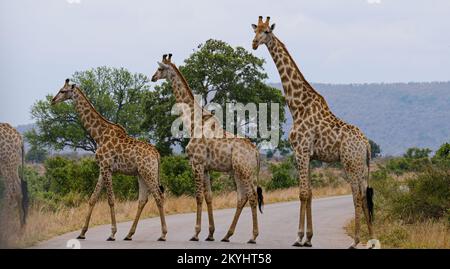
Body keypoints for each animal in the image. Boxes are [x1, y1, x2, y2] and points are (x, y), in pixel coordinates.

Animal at [51, 79, 167, 241]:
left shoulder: (106, 167)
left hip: (148, 172)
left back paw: (163, 234)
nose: (53, 100)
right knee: (143, 199)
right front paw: (82, 233)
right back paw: (129, 234)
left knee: (158, 196)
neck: (98, 134)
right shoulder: (102, 168)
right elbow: (92, 198)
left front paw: (112, 233)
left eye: (63, 91)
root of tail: (157, 154)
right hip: (141, 174)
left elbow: (111, 200)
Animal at [151, 54, 264, 243]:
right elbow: (209, 197)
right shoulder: (206, 168)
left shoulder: (196, 163)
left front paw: (196, 233)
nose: (152, 77)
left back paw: (253, 237)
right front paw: (210, 234)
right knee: (242, 198)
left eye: (160, 68)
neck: (193, 123)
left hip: (245, 171)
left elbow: (198, 196)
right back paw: (227, 235)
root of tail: (255, 152)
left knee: (252, 197)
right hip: (239, 171)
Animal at [251, 16, 374, 247]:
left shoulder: (300, 151)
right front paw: (308, 238)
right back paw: (371, 238)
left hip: (351, 164)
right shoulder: (308, 155)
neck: (297, 106)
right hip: (362, 166)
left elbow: (302, 193)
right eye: (255, 30)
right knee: (364, 196)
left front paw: (298, 237)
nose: (254, 43)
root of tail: (367, 144)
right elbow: (310, 193)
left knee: (356, 196)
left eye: (267, 32)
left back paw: (356, 240)